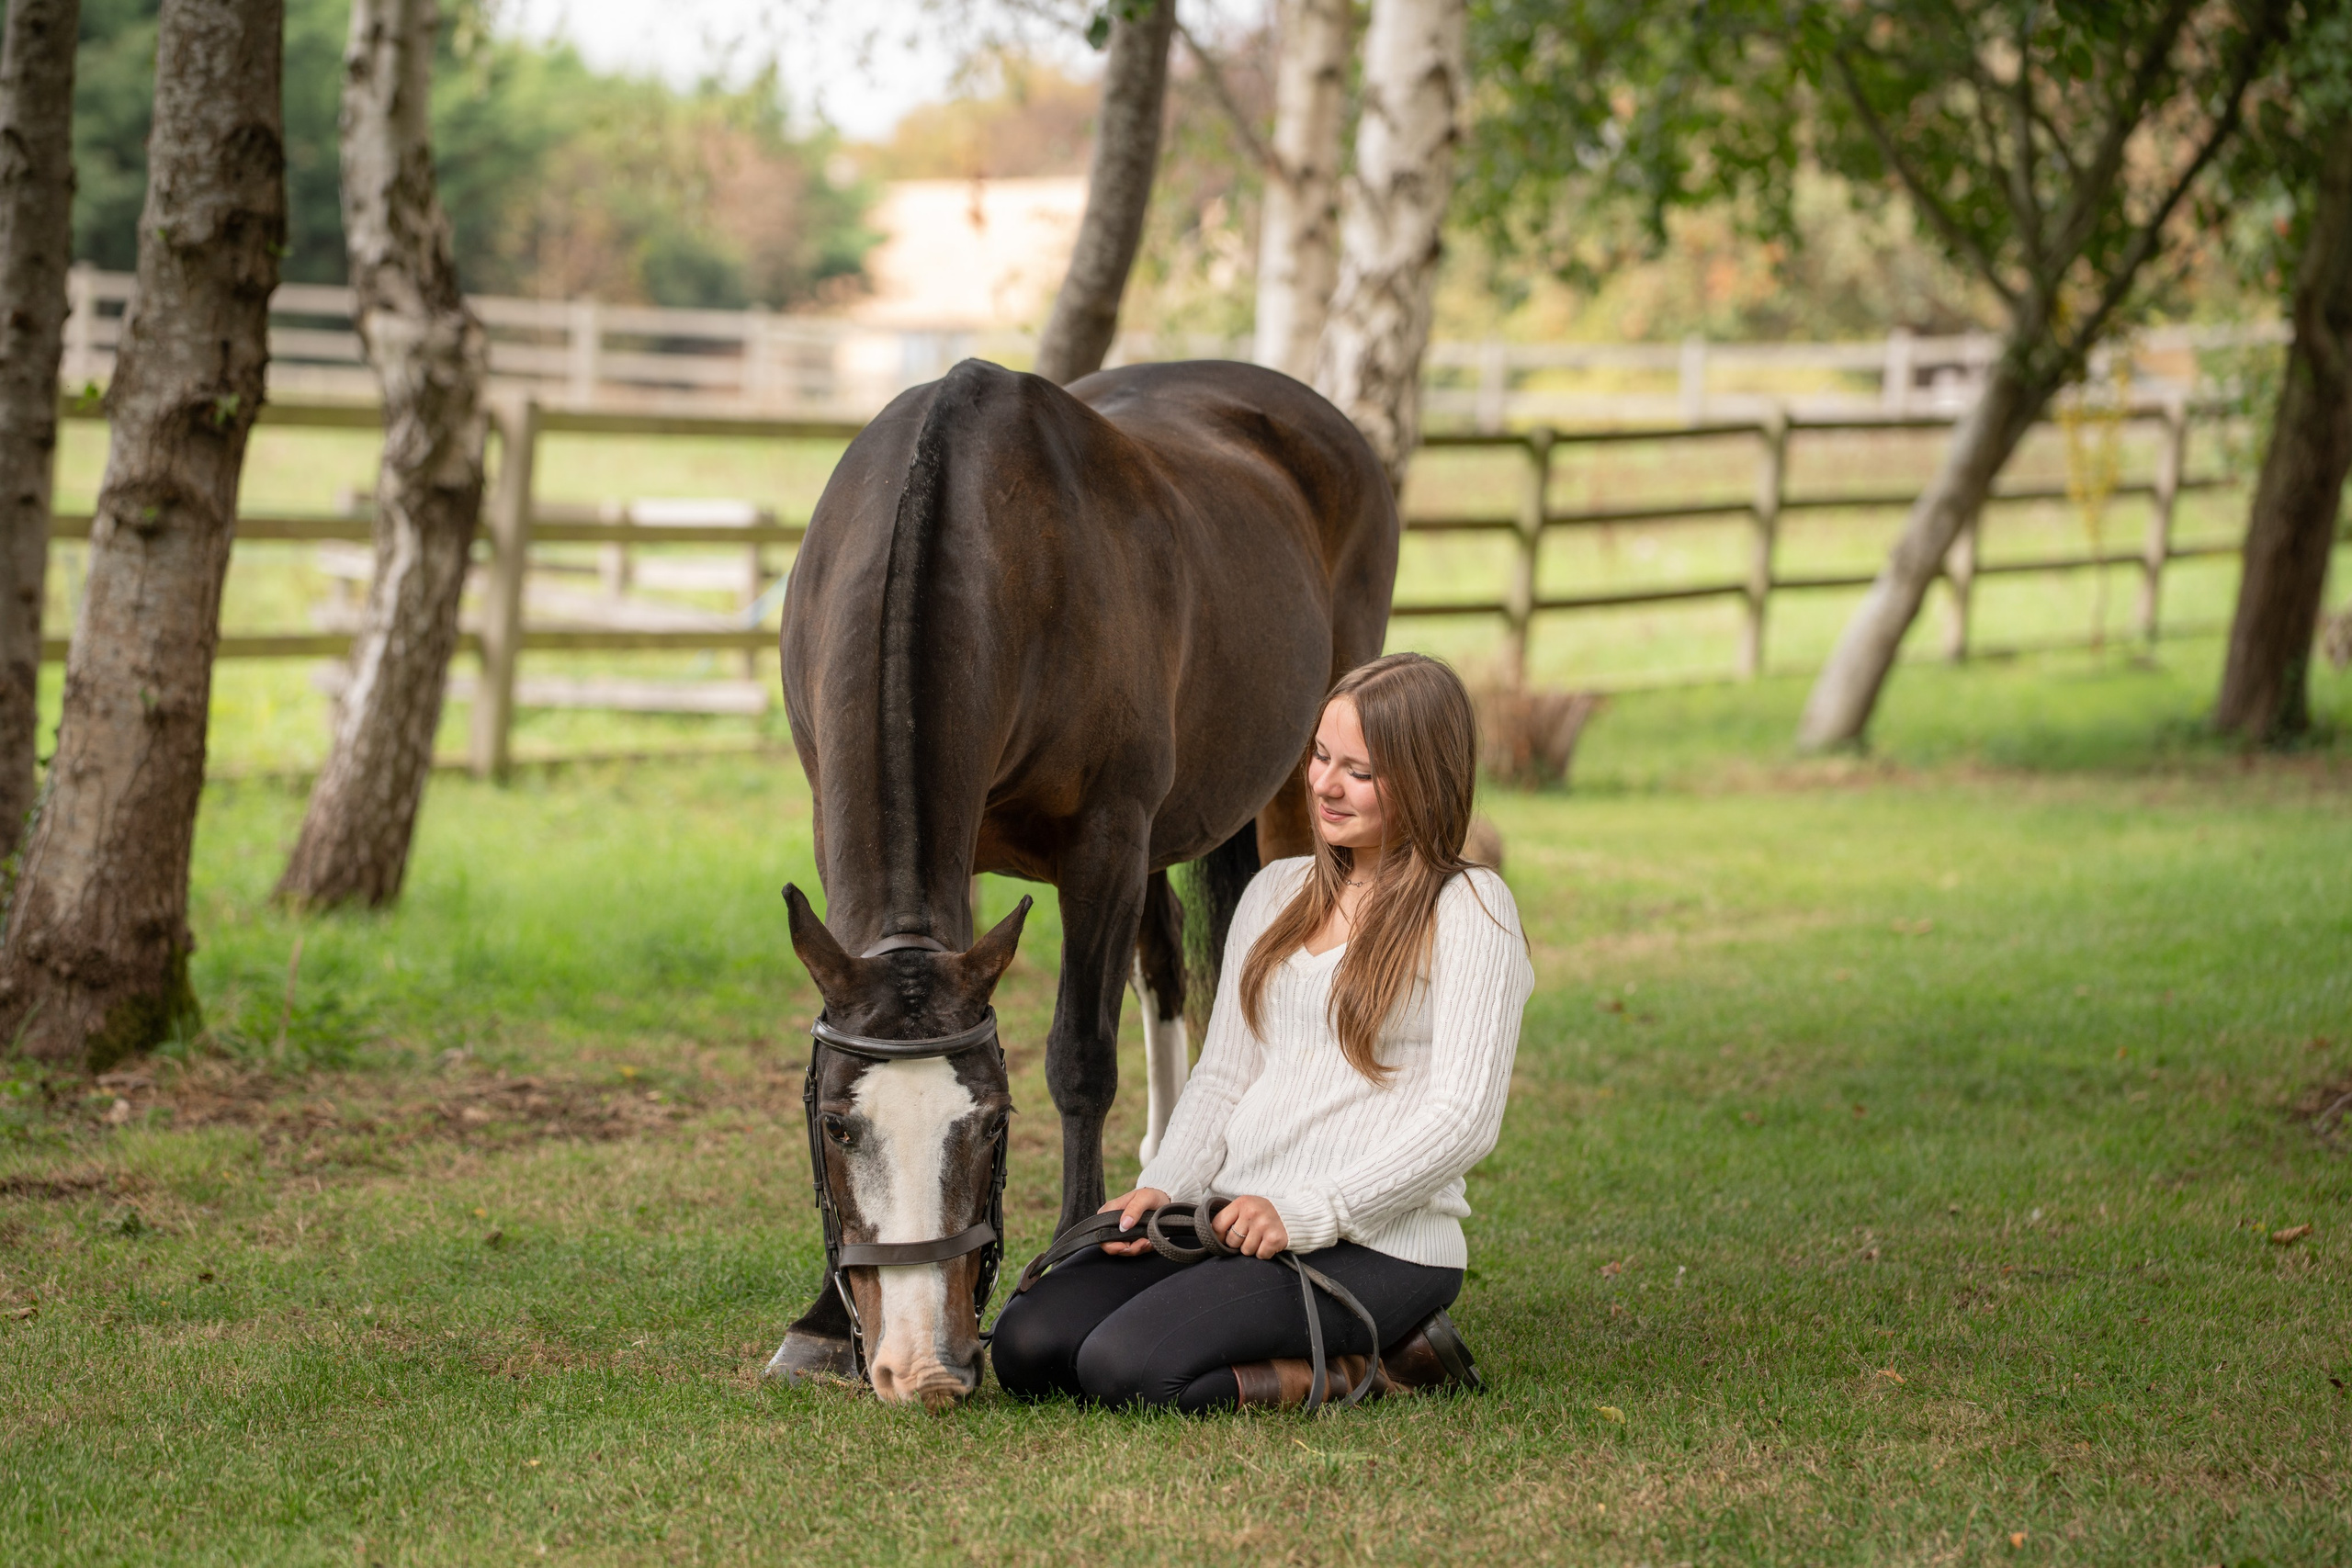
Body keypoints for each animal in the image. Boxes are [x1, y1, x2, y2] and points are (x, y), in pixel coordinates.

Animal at [770, 357, 1397, 1401]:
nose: (925, 1367)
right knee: (1169, 964)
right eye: (835, 1128)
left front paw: (1068, 1249)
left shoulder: (1103, 840)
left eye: (990, 1126)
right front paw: (822, 1323)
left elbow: (1078, 1057)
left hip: (1289, 795)